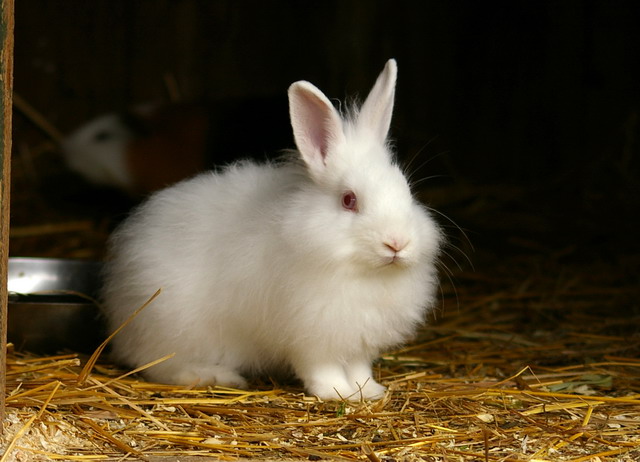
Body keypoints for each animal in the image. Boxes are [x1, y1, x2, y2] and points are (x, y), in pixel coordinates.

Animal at [101, 59, 443, 401]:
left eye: (407, 191)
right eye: (349, 200)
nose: (397, 243)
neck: (362, 272)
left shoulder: (357, 340)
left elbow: (359, 367)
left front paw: (368, 391)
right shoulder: (309, 334)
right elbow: (321, 369)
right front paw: (336, 393)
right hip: (171, 327)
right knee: (158, 365)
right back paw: (215, 375)